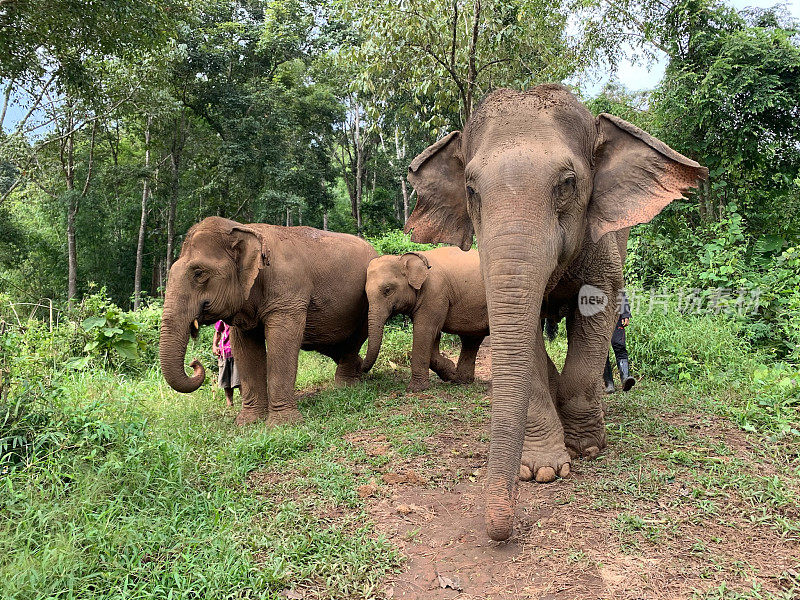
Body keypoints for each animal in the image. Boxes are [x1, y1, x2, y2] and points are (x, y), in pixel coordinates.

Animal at [161, 216, 380, 426]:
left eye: (199, 273)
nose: (194, 363)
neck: (244, 229)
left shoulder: (288, 294)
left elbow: (281, 344)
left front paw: (282, 424)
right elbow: (246, 349)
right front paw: (248, 422)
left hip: (365, 303)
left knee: (353, 340)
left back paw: (346, 386)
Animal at [362, 246, 488, 392]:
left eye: (387, 290)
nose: (362, 367)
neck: (403, 258)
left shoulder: (435, 292)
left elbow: (425, 331)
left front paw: (415, 389)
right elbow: (433, 336)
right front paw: (450, 371)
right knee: (471, 340)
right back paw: (461, 381)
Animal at [406, 83, 708, 540]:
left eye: (567, 183)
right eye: (471, 190)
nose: (499, 531)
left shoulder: (601, 246)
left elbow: (598, 312)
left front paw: (586, 447)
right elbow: (523, 334)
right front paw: (542, 470)